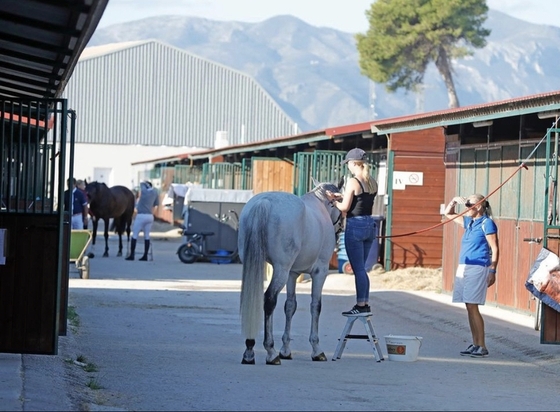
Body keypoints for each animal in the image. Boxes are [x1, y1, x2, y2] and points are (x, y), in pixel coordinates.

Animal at [240, 180, 344, 364]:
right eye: (339, 202)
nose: (341, 226)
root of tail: (264, 202)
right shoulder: (320, 272)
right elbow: (315, 306)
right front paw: (316, 350)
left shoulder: (292, 274)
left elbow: (290, 306)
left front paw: (286, 350)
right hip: (280, 269)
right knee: (269, 299)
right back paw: (270, 352)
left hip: (257, 265)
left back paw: (250, 350)